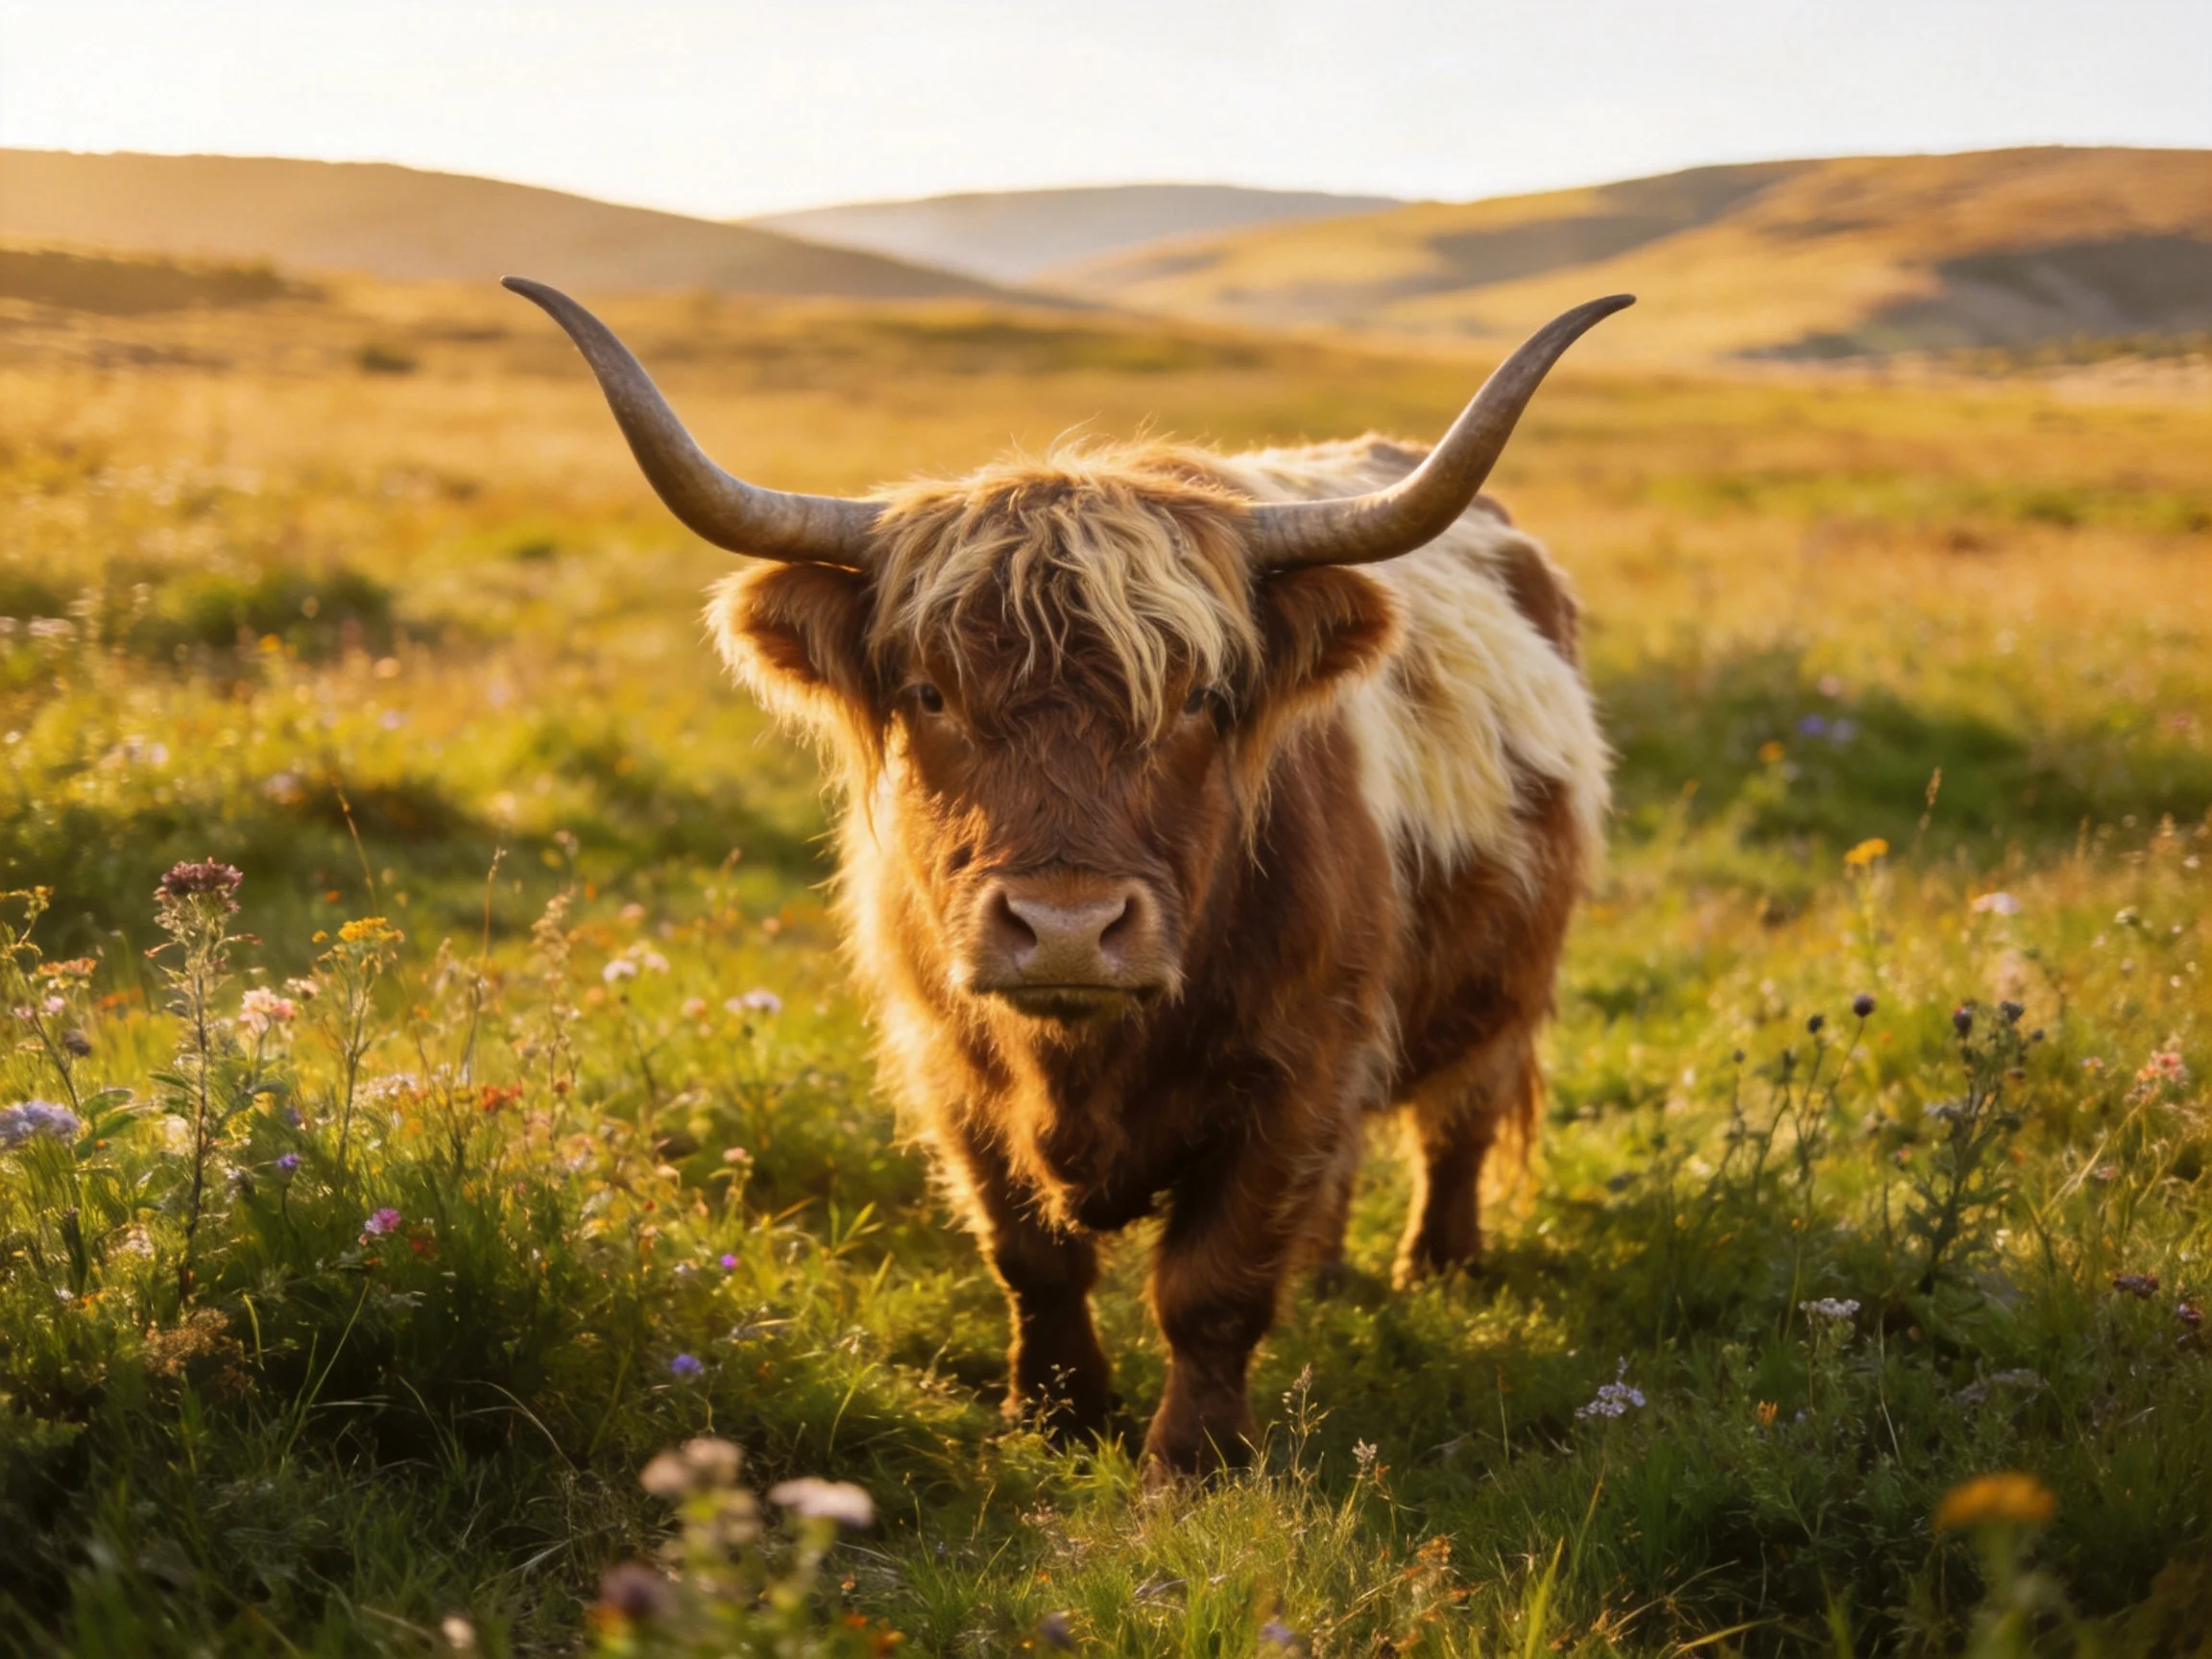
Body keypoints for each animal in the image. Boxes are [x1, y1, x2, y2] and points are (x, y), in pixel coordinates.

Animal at [505, 277, 1626, 1478]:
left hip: (1505, 982)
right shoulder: (950, 1060)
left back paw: (1442, 1267)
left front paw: (1194, 1460)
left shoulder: (1301, 1058)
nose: (1068, 928)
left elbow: (1214, 1283)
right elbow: (1030, 1257)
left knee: (1456, 1124)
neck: (1085, 1059)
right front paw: (1055, 1414)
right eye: (930, 692)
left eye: (1199, 697)